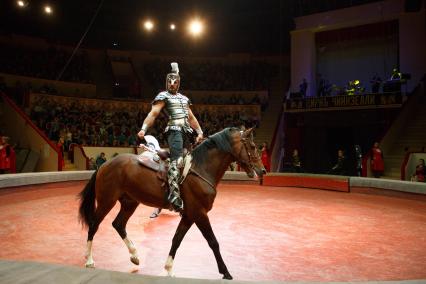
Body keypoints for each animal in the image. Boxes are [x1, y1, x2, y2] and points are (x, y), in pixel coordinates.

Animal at [78, 128, 264, 280]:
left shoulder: (189, 215)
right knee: (94, 225)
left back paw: (135, 256)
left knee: (118, 224)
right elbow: (213, 241)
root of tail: (104, 165)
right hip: (106, 201)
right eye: (253, 146)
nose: (262, 170)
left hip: (130, 202)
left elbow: (176, 239)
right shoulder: (199, 213)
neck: (201, 169)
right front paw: (225, 272)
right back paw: (89, 260)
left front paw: (168, 269)